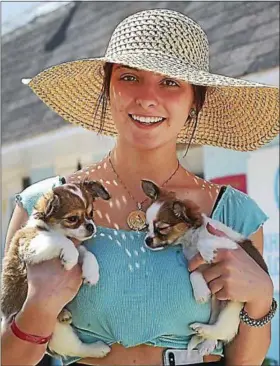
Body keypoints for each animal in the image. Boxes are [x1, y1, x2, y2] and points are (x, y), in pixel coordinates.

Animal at [1, 182, 112, 358]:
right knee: (75, 348)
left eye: (91, 213)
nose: (91, 227)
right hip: (57, 330)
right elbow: (60, 240)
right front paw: (70, 257)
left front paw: (92, 273)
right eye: (72, 219)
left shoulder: (79, 247)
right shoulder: (31, 245)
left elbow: (87, 253)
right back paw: (97, 348)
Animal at [141, 180, 268, 358]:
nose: (147, 240)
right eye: (147, 227)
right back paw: (206, 341)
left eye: (162, 228)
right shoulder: (197, 264)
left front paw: (207, 252)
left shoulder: (230, 245)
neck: (190, 240)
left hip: (234, 306)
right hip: (217, 304)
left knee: (223, 329)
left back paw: (202, 329)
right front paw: (201, 292)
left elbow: (205, 243)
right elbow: (193, 272)